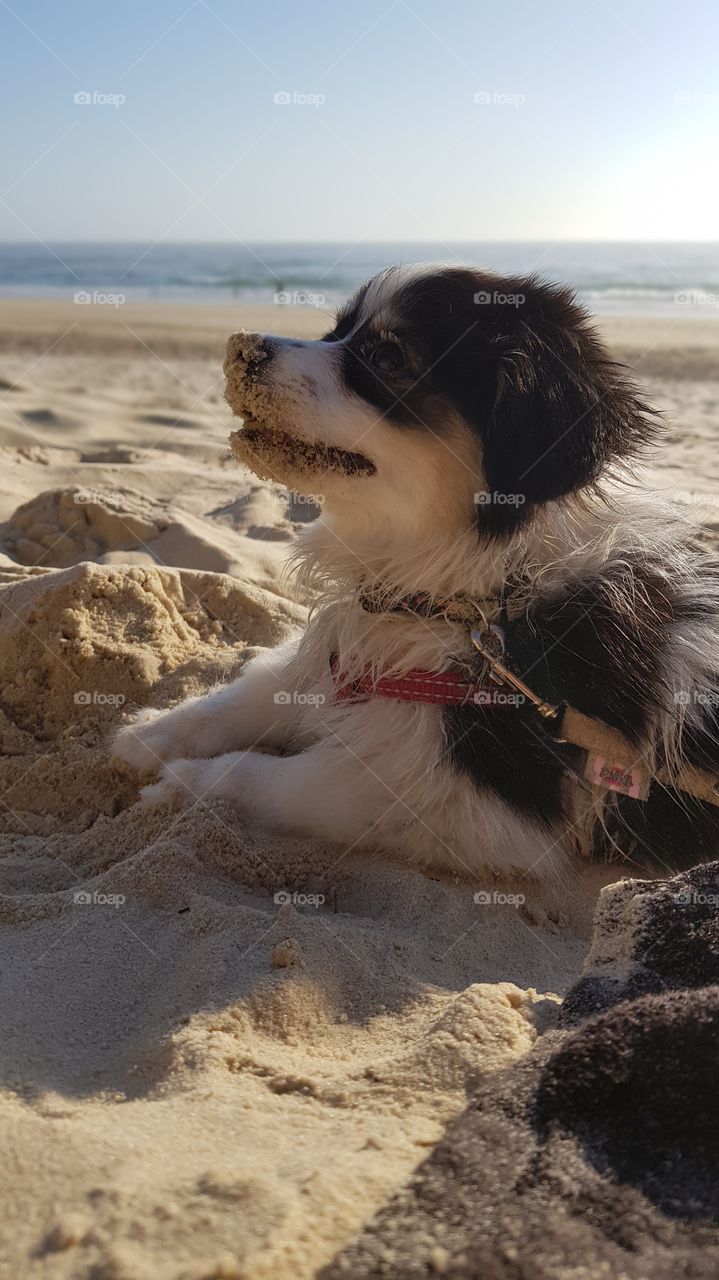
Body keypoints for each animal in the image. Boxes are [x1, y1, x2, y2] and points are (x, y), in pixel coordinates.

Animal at [110, 259, 716, 880]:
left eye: (386, 356)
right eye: (335, 332)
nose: (238, 347)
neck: (464, 595)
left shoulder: (467, 804)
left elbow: (283, 781)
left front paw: (182, 782)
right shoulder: (344, 659)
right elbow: (260, 687)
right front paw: (149, 733)